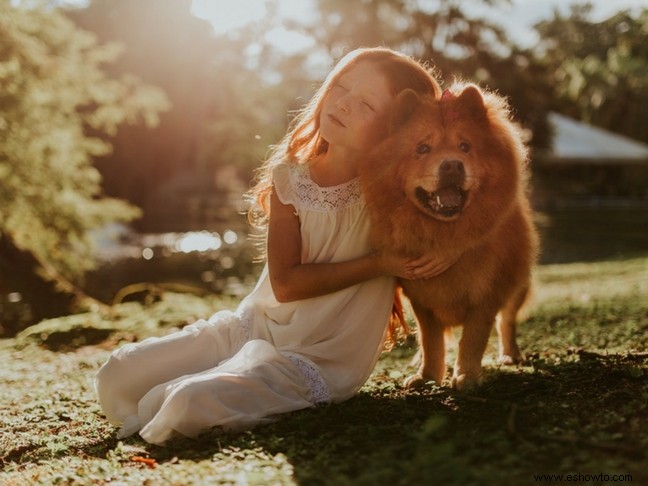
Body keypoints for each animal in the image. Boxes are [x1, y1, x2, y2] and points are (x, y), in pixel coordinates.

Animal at [362, 83, 540, 392]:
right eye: (422, 148)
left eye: (465, 147)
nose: (452, 165)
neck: (444, 232)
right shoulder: (421, 298)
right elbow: (431, 340)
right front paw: (427, 375)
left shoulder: (488, 293)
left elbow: (474, 337)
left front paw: (467, 376)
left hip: (517, 283)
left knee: (507, 321)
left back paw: (510, 355)